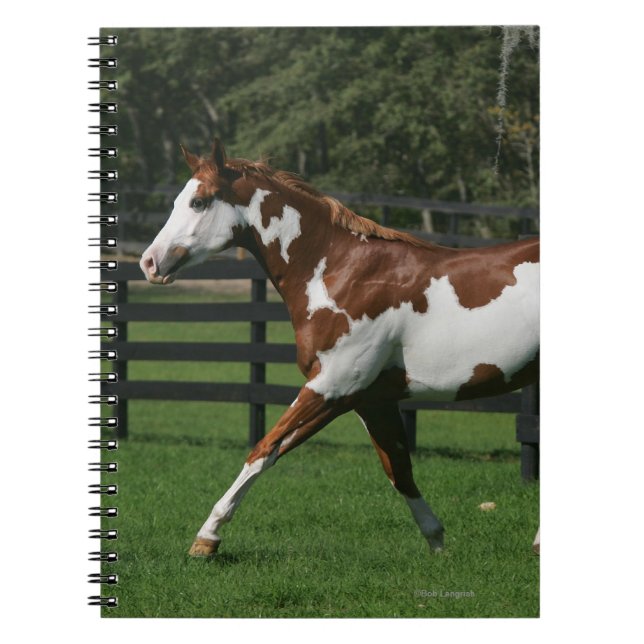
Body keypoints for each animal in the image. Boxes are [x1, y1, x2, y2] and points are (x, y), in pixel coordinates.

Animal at [139, 139, 540, 557]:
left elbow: (263, 449)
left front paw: (207, 537)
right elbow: (398, 470)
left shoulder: (331, 387)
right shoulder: (369, 399)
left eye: (199, 202)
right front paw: (437, 544)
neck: (344, 273)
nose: (149, 263)